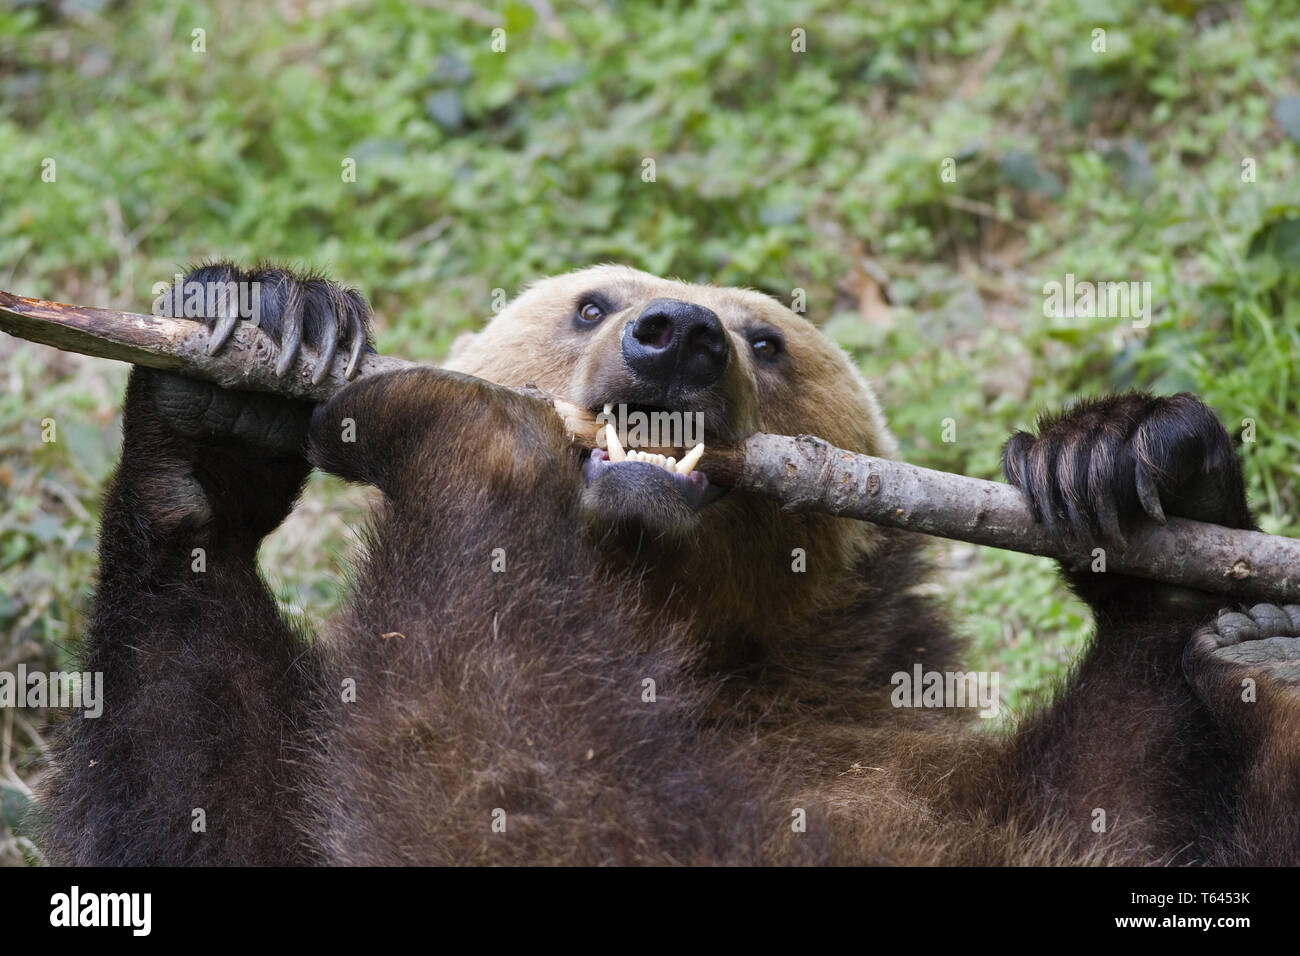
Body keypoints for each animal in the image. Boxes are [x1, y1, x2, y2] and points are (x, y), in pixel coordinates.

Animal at [35, 263, 1300, 865]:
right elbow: (206, 799)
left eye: (766, 337)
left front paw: (1125, 453)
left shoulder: (891, 768)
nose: (676, 332)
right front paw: (244, 355)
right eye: (591, 297)